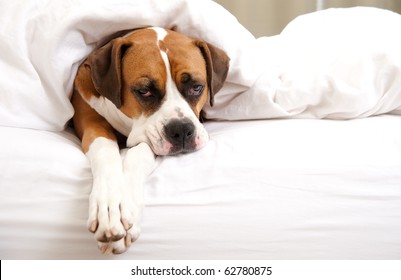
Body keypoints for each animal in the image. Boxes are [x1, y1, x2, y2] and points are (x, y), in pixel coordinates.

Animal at [70, 27, 230, 254]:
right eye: (144, 91)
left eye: (197, 87)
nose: (182, 129)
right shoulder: (91, 123)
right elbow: (103, 148)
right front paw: (109, 207)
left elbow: (139, 153)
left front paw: (127, 204)